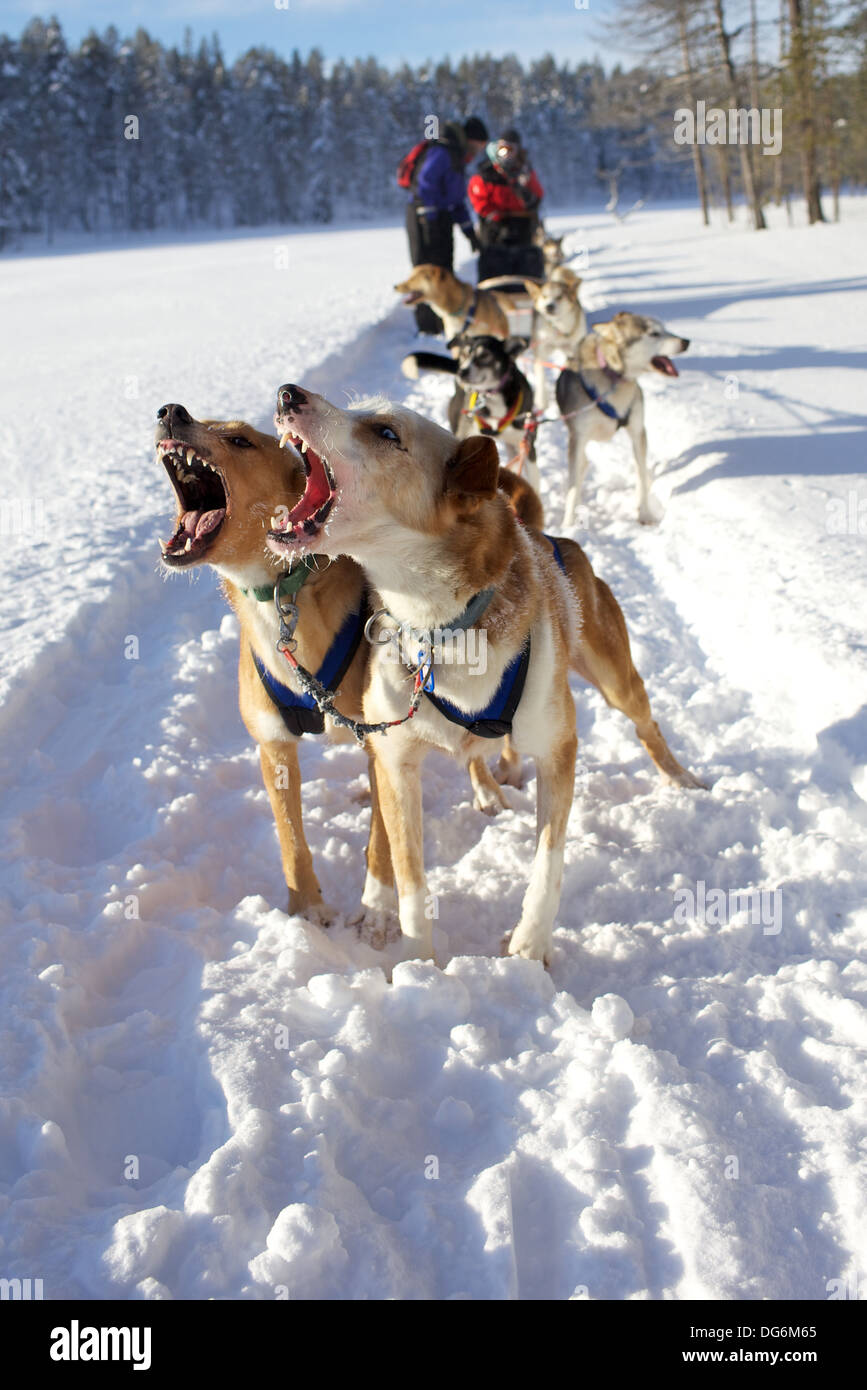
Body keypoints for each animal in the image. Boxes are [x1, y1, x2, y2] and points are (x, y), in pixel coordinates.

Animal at [269, 380, 705, 967]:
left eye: (386, 432)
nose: (287, 393)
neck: (442, 628)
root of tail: (548, 536)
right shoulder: (395, 763)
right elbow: (410, 881)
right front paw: (419, 966)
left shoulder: (559, 748)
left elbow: (548, 864)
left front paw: (529, 947)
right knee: (486, 750)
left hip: (617, 681)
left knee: (646, 725)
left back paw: (681, 780)